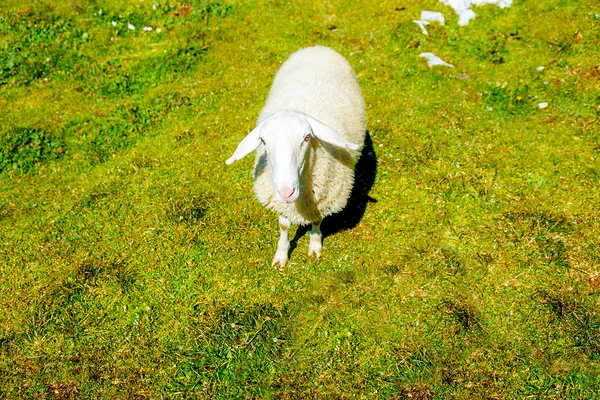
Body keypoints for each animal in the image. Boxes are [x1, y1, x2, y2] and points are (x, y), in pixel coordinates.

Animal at [225, 45, 366, 268]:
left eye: (307, 137)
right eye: (263, 141)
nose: (286, 192)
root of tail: (317, 47)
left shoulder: (322, 200)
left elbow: (317, 221)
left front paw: (315, 246)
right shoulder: (281, 204)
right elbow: (284, 226)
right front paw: (281, 256)